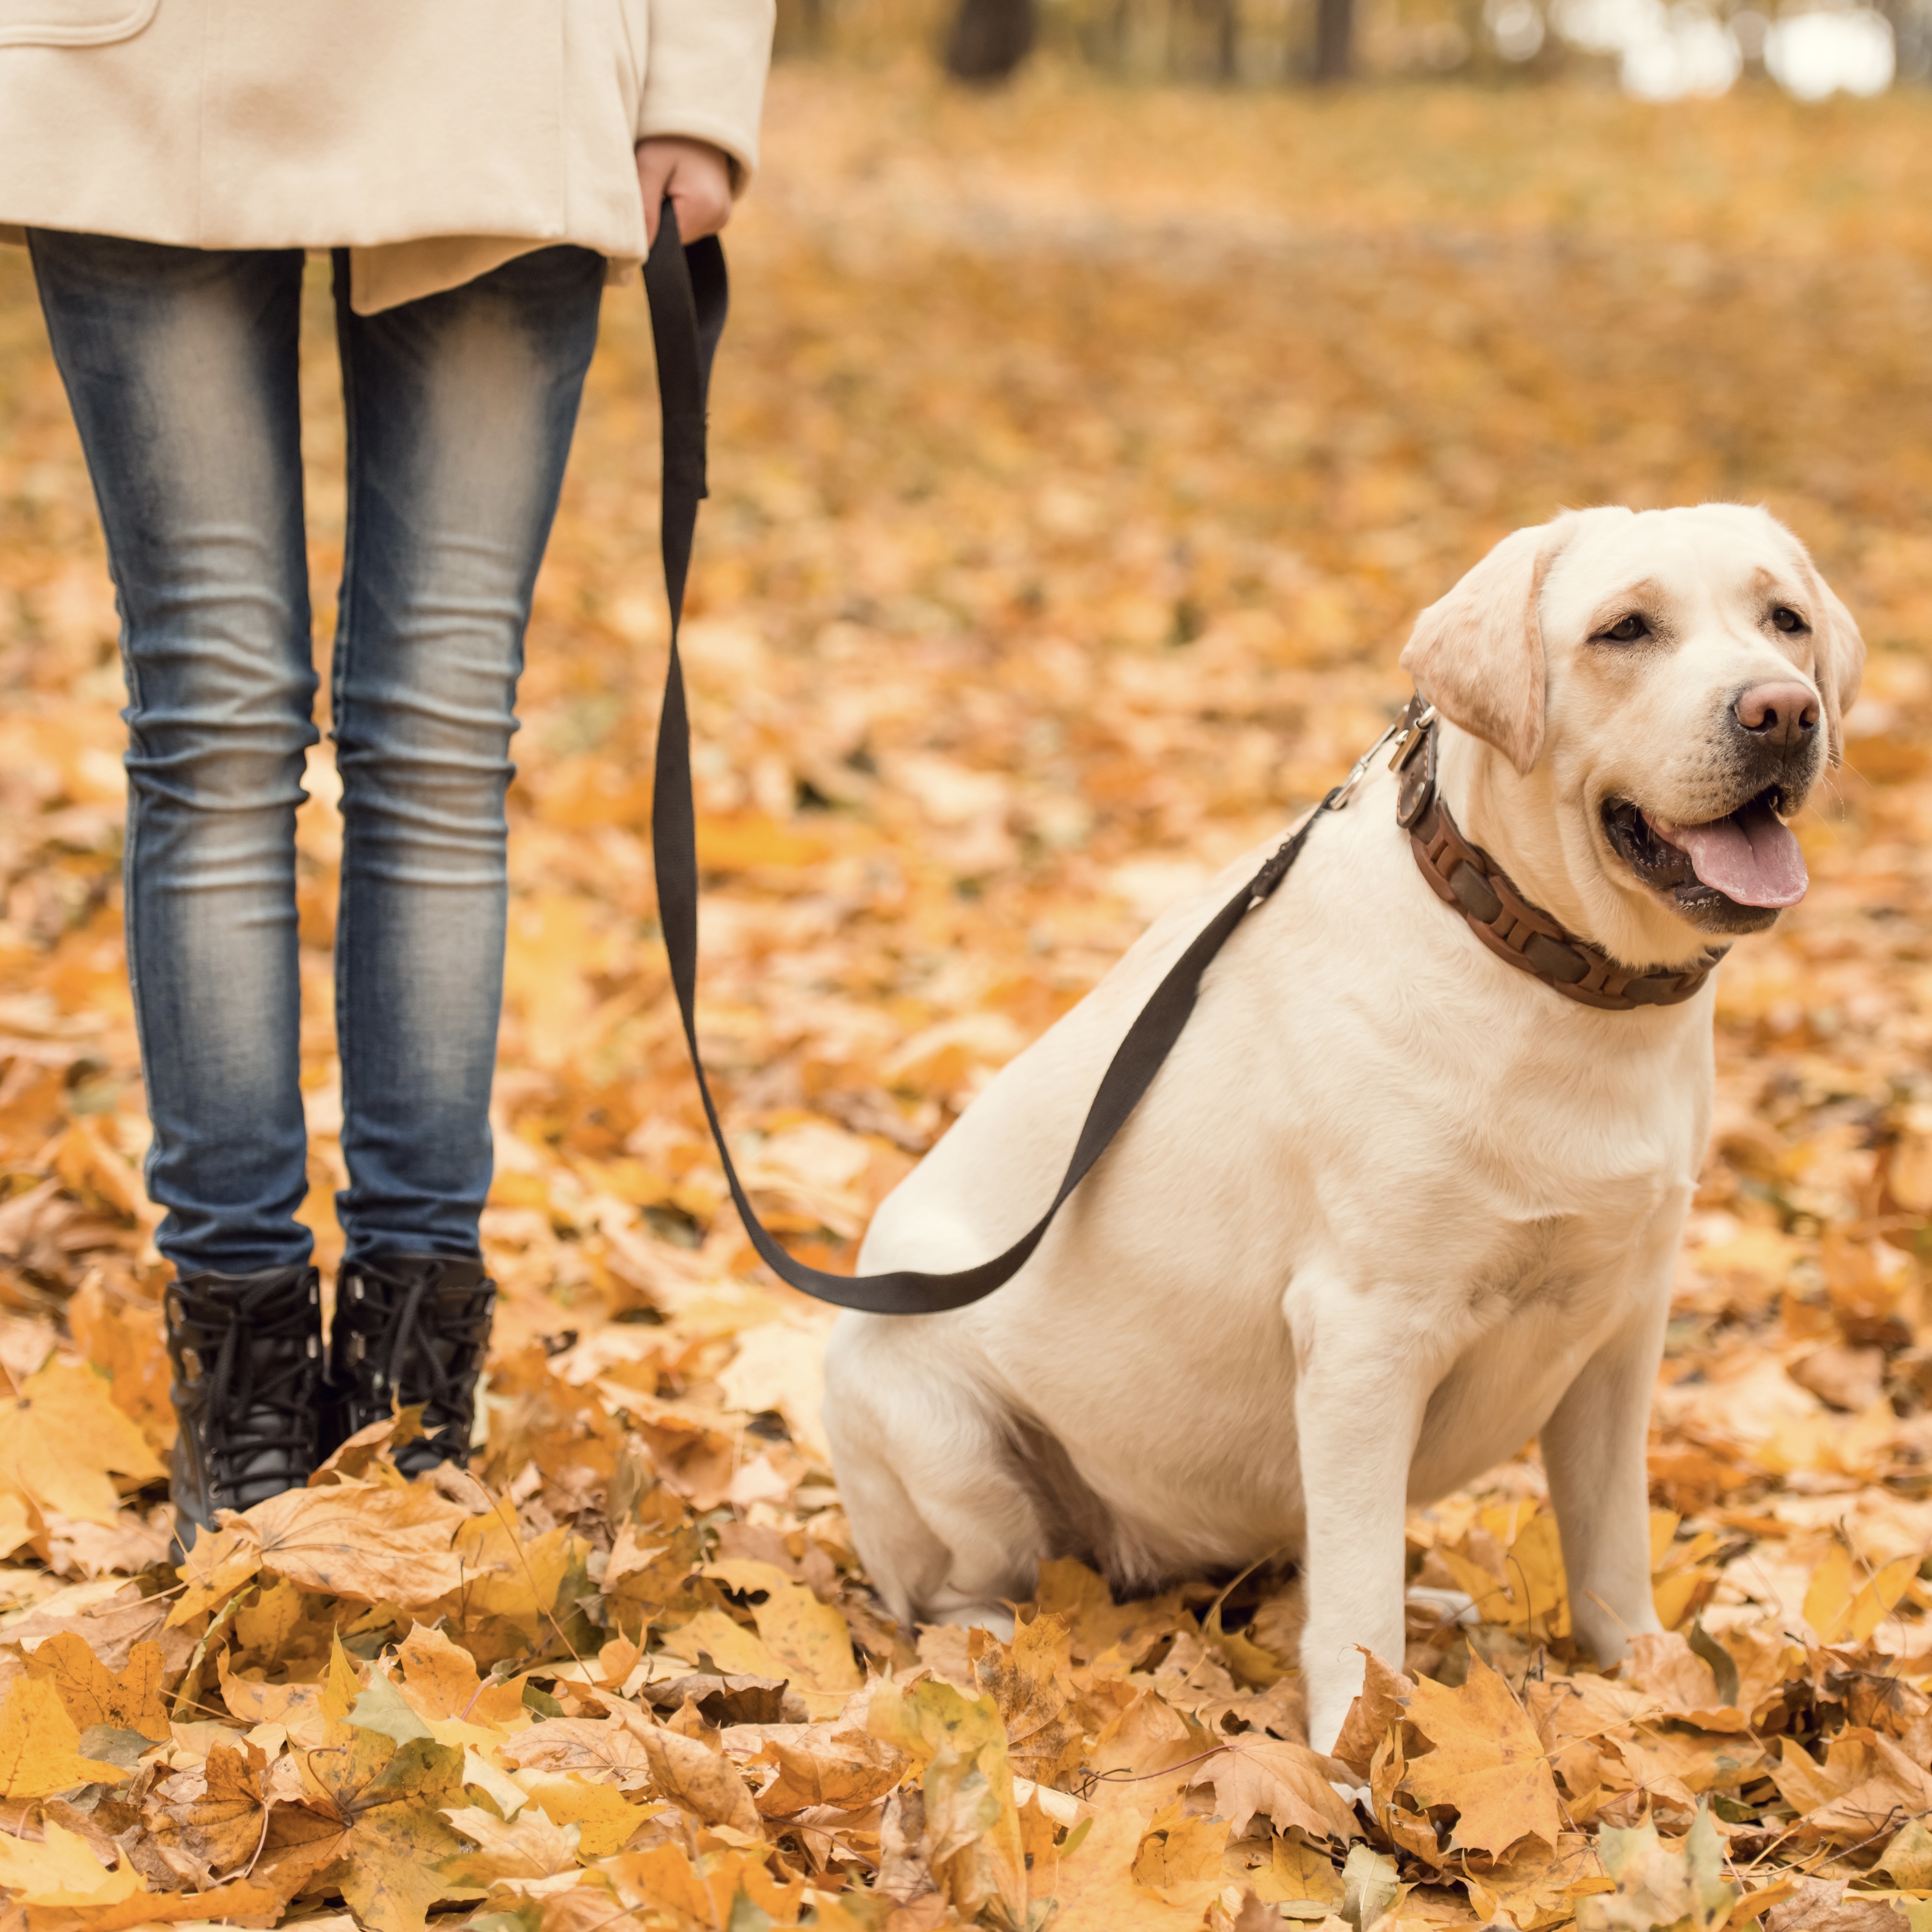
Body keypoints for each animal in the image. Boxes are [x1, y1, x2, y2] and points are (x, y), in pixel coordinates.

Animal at [823, 502, 1862, 1754]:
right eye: (1624, 629)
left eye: (1783, 620)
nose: (1783, 710)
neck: (1559, 980)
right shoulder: (1369, 1332)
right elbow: (1357, 1607)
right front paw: (1358, 1756)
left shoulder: (1622, 1329)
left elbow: (1609, 1550)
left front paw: (1644, 1694)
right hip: (931, 1415)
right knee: (953, 1591)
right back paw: (986, 1645)